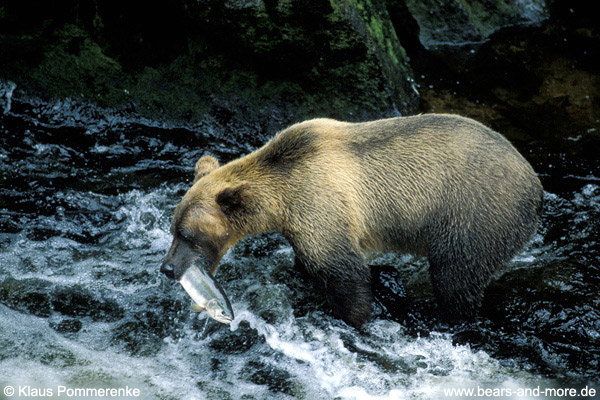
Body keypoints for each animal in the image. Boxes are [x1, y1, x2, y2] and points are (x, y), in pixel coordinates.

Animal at [161, 113, 544, 328]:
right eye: (172, 228)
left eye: (188, 234)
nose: (166, 268)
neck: (280, 200)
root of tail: (536, 185)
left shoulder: (321, 204)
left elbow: (344, 272)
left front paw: (353, 317)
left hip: (475, 215)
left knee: (456, 277)